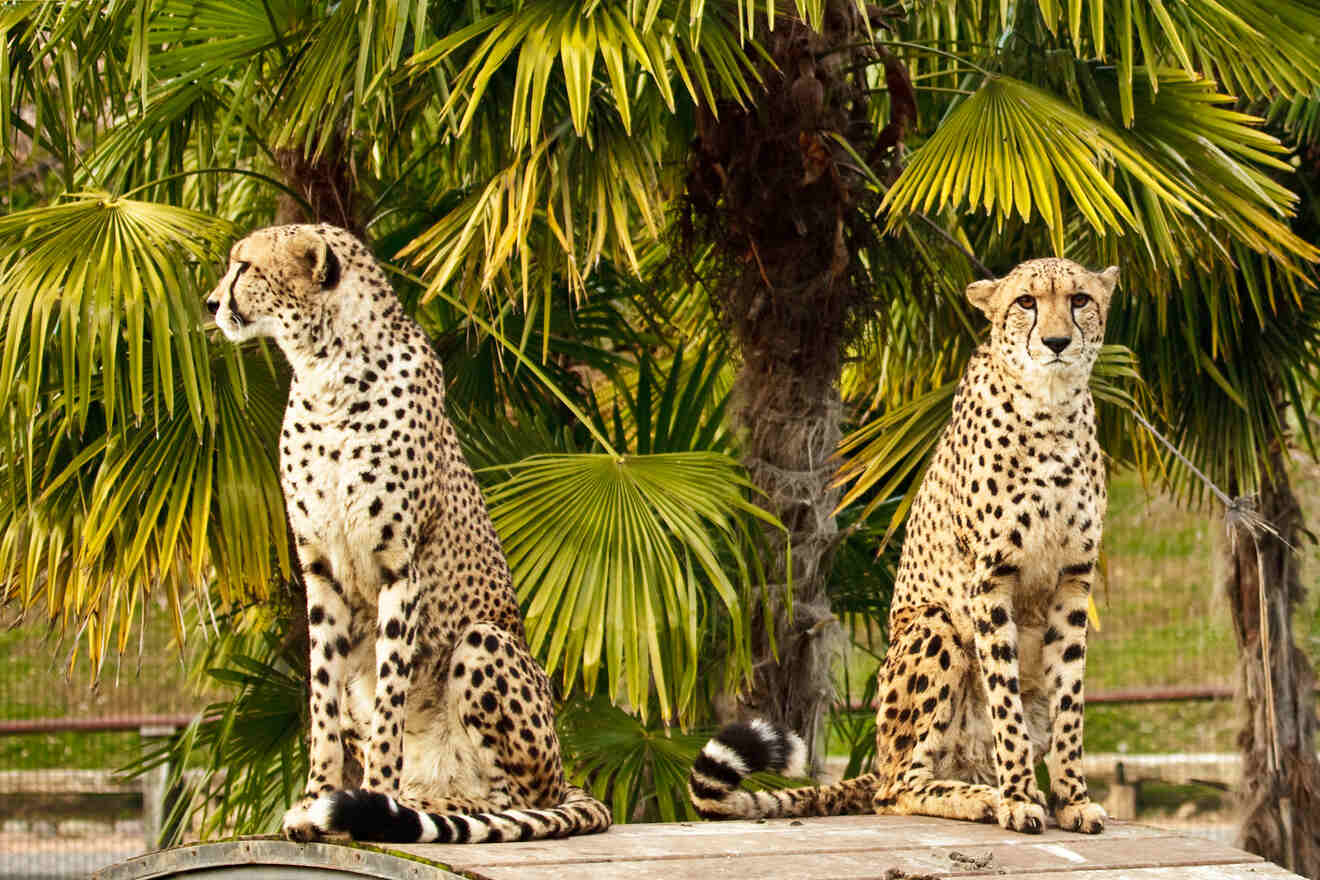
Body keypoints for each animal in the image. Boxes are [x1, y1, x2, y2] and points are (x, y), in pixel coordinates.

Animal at [204, 224, 612, 844]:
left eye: (244, 267)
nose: (210, 304)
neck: (325, 371)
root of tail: (566, 778)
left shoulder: (399, 565)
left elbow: (390, 698)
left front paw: (373, 797)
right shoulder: (319, 571)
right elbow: (322, 696)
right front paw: (318, 798)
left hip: (486, 642)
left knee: (511, 801)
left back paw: (437, 806)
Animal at [689, 258, 1119, 836]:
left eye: (1079, 300)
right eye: (1025, 302)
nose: (1055, 341)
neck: (1052, 409)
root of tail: (880, 756)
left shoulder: (1073, 580)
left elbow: (1069, 701)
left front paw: (1072, 799)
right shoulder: (990, 578)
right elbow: (1004, 701)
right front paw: (1020, 799)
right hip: (934, 625)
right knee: (896, 788)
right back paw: (980, 797)